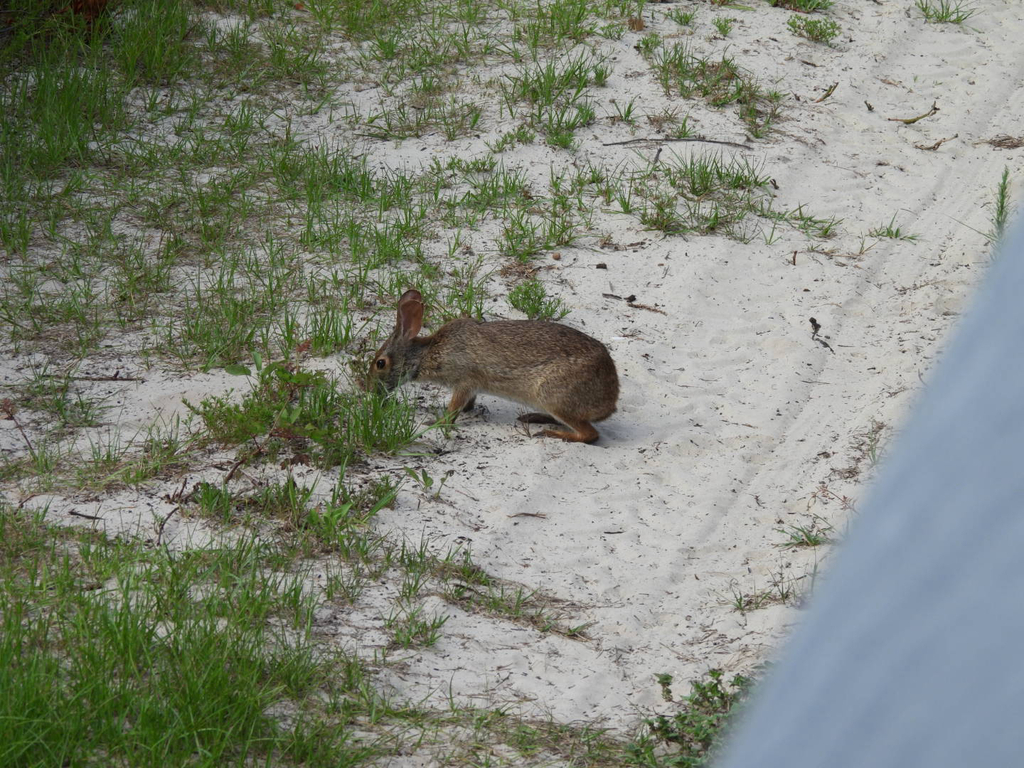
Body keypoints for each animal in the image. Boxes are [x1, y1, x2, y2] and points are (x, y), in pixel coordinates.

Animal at [367, 289, 619, 443]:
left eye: (380, 363)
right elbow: (467, 405)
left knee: (589, 434)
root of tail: (610, 400)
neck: (426, 354)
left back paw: (551, 433)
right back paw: (533, 418)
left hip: (553, 395)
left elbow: (453, 409)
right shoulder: (470, 388)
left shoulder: (464, 381)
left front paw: (435, 421)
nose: (369, 388)